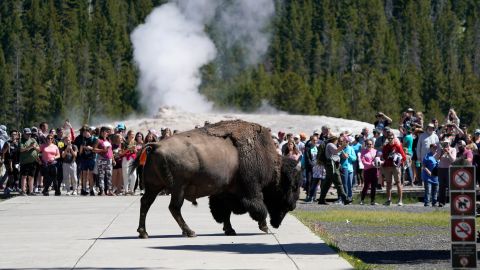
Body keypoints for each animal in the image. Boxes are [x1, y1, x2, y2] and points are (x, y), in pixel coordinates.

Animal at [130, 120, 300, 238]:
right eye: (292, 186)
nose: (292, 206)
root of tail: (156, 145)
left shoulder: (224, 192)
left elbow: (225, 212)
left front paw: (230, 230)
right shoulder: (252, 189)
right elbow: (259, 208)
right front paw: (264, 227)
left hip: (154, 187)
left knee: (146, 203)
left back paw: (143, 232)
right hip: (178, 188)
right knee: (174, 208)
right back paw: (190, 232)